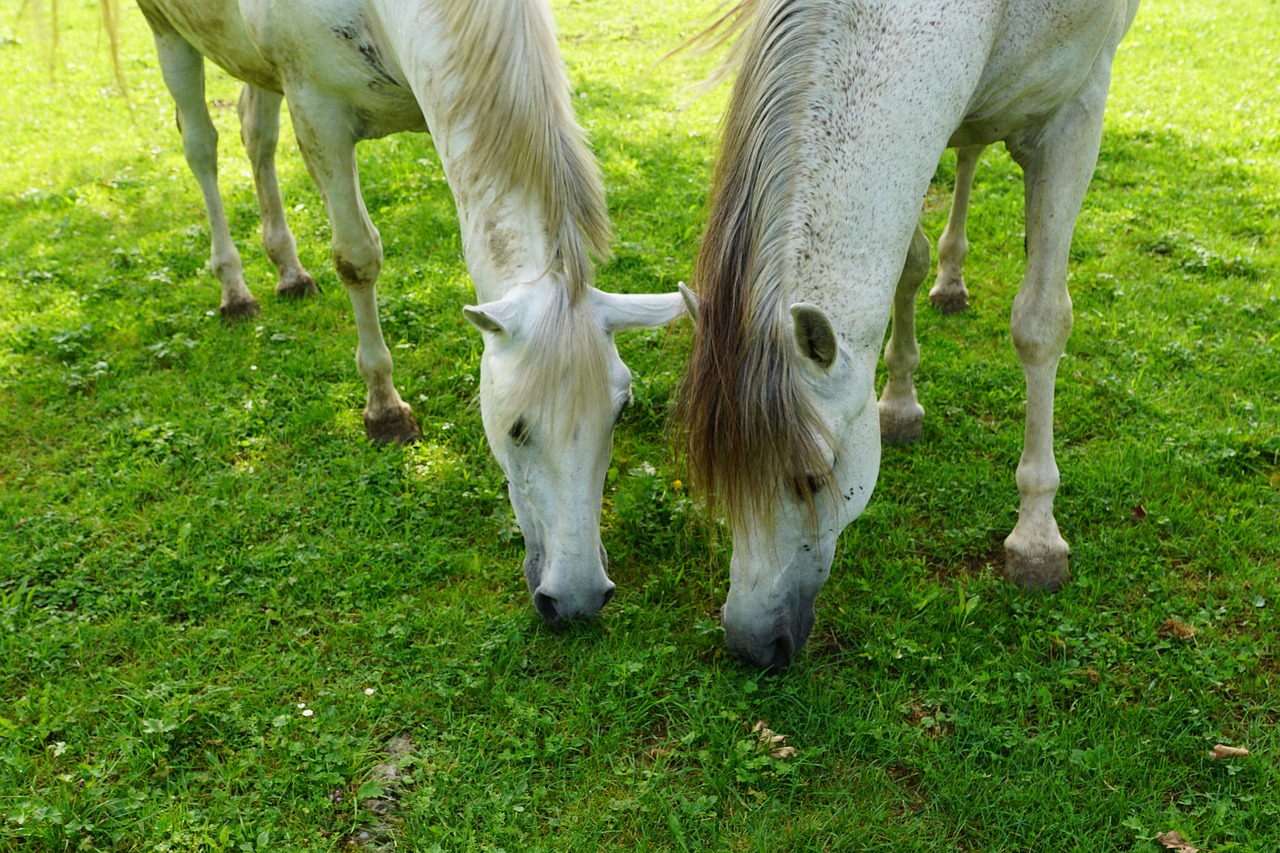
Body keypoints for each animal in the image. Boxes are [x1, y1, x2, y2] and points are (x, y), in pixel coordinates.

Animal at [127, 1, 691, 625]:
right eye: (515, 429)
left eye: (619, 414)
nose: (577, 598)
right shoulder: (318, 115)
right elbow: (358, 258)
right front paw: (384, 409)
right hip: (168, 34)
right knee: (202, 144)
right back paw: (234, 287)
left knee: (256, 132)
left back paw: (289, 271)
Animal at [680, 0, 1141, 666]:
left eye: (812, 478)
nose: (751, 645)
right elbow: (908, 264)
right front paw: (898, 405)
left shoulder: (1076, 115)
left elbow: (1040, 325)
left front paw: (1037, 537)